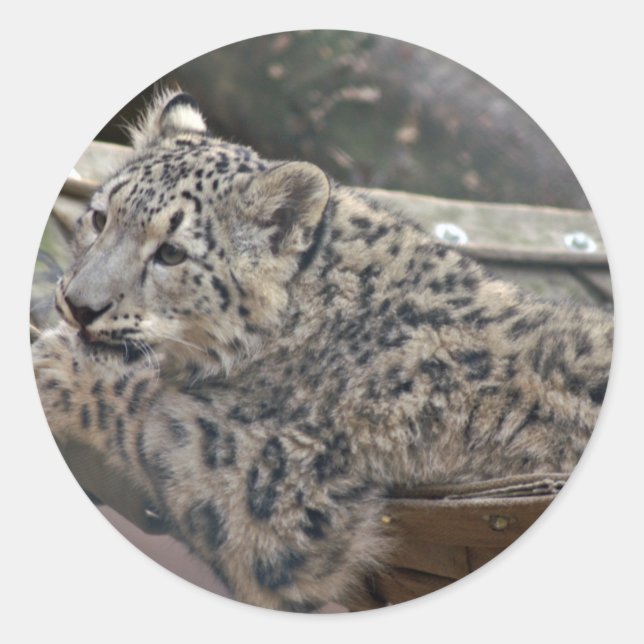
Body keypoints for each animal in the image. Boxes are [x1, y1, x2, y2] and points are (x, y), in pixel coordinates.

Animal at [32, 90, 613, 612]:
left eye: (172, 253)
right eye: (101, 218)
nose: (78, 305)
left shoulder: (272, 486)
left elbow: (149, 411)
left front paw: (57, 362)